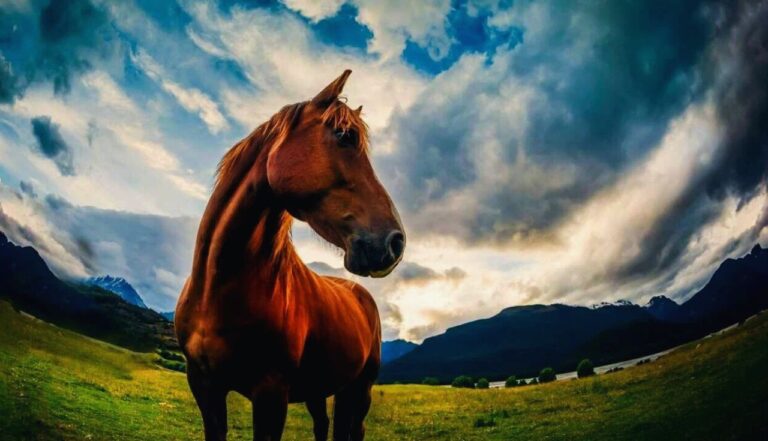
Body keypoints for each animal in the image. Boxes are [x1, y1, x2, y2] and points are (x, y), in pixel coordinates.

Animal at [173, 69, 402, 440]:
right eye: (344, 136)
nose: (396, 242)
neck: (217, 289)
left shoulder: (271, 394)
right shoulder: (204, 385)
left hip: (360, 389)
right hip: (320, 390)